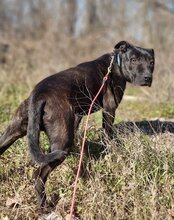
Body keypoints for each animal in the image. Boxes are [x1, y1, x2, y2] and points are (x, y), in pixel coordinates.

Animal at [0, 41, 155, 208]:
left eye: (151, 62)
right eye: (134, 60)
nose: (148, 77)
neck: (116, 63)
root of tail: (39, 94)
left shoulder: (78, 114)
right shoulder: (109, 110)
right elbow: (107, 135)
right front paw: (110, 150)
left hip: (14, 130)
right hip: (61, 144)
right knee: (38, 175)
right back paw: (43, 206)